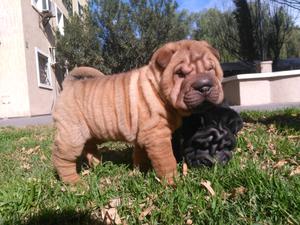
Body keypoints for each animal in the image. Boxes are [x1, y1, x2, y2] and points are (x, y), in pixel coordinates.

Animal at [52, 40, 224, 185]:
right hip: (72, 135)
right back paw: (75, 184)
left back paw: (98, 166)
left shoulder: (144, 136)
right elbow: (167, 161)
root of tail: (68, 85)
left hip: (89, 132)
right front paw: (173, 183)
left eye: (211, 69)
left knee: (90, 148)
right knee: (61, 159)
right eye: (180, 74)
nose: (204, 86)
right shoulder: (157, 136)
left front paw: (139, 172)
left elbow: (140, 156)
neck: (157, 88)